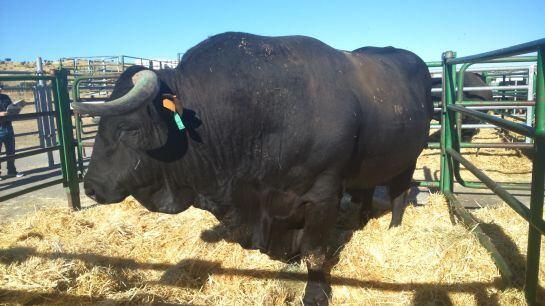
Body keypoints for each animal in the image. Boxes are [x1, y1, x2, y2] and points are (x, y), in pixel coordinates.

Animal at [72, 32, 432, 304]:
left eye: (128, 128)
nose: (91, 186)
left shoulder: (323, 194)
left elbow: (315, 252)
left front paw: (314, 294)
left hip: (408, 157)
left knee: (400, 193)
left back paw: (394, 228)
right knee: (367, 189)